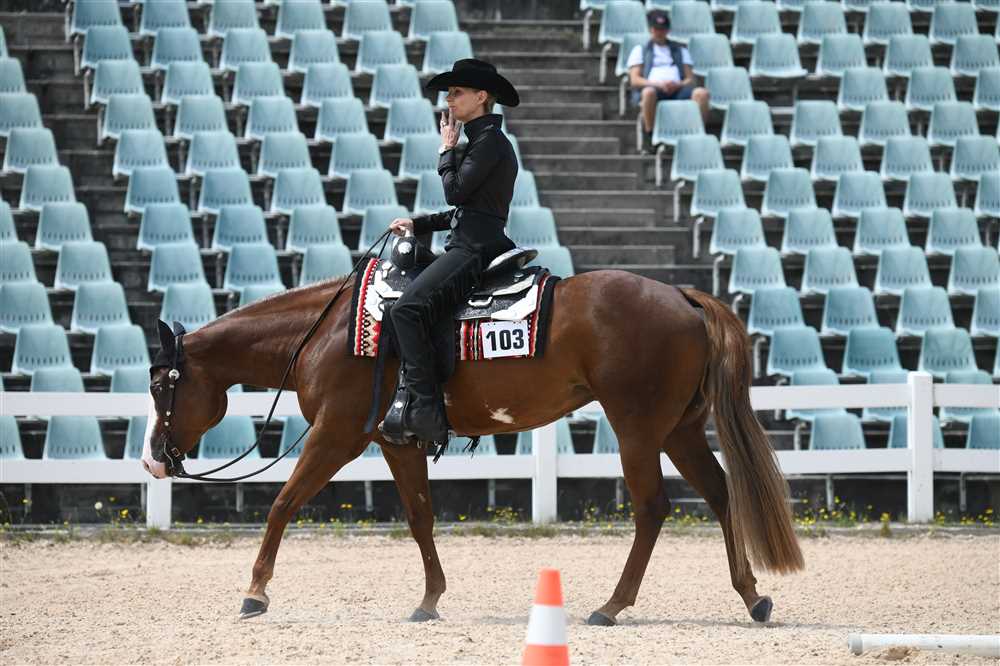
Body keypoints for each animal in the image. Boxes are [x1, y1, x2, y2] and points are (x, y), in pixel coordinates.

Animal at [141, 268, 804, 625]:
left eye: (159, 383)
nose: (152, 458)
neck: (330, 333)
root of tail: (683, 297)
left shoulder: (336, 435)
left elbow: (283, 503)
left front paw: (255, 592)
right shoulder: (397, 442)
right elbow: (420, 518)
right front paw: (429, 600)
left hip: (638, 429)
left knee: (653, 509)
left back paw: (611, 606)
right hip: (679, 430)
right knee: (720, 496)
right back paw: (753, 597)